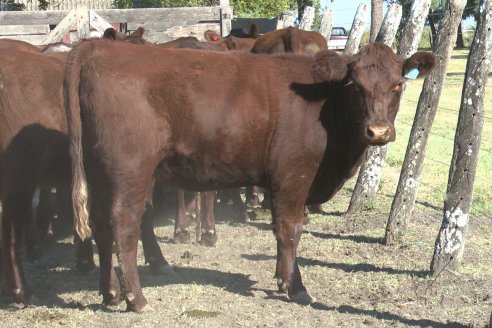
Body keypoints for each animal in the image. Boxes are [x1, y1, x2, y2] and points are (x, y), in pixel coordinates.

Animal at [64, 39, 434, 312]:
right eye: (355, 86)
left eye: (398, 85)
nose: (378, 131)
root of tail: (99, 46)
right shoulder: (293, 175)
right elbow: (289, 229)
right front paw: (296, 287)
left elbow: (279, 231)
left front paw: (281, 278)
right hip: (130, 170)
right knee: (123, 224)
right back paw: (136, 298)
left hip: (100, 171)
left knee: (100, 225)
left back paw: (110, 294)